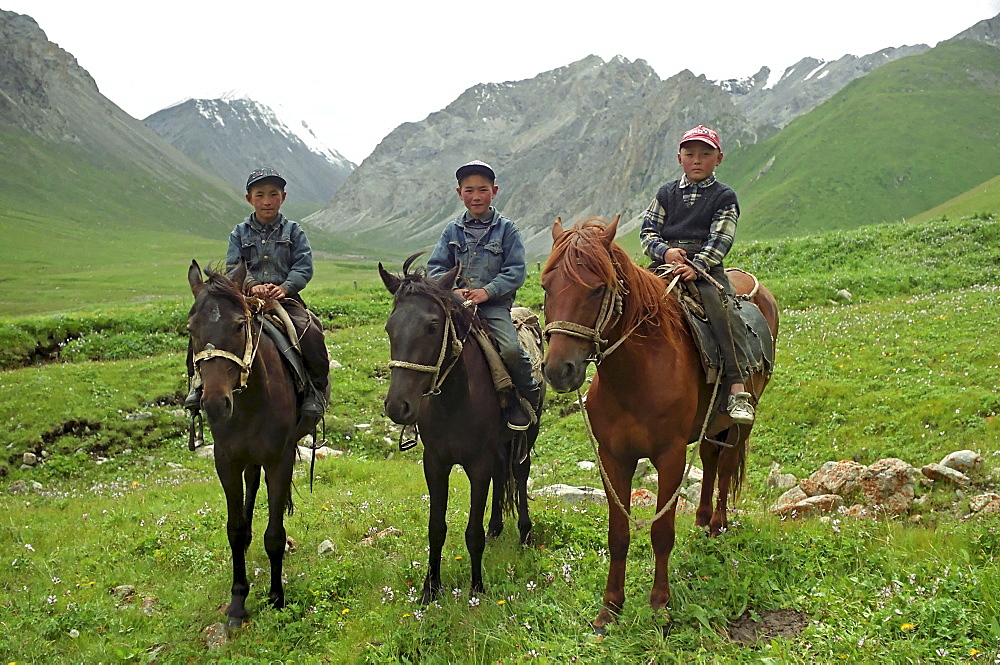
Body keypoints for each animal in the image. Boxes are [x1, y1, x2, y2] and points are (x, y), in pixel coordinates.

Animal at [188, 260, 320, 628]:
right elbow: (234, 530)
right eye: (191, 328)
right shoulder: (226, 461)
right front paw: (237, 602)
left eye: (239, 325)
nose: (215, 404)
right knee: (250, 490)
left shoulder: (279, 460)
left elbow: (274, 535)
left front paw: (276, 598)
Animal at [378, 254, 544, 600]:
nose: (398, 407)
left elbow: (472, 533)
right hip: (499, 446)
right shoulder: (435, 463)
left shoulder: (477, 464)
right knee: (502, 473)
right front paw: (430, 588)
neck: (453, 402)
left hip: (528, 434)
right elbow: (436, 528)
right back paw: (497, 528)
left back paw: (524, 534)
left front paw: (476, 588)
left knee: (519, 475)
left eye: (432, 326)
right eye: (390, 327)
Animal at [544, 217, 776, 628]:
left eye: (598, 288)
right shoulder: (613, 459)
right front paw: (610, 608)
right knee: (711, 459)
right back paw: (701, 521)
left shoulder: (669, 456)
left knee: (726, 463)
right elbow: (618, 533)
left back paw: (718, 524)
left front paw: (659, 605)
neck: (637, 374)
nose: (559, 370)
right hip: (711, 423)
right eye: (545, 286)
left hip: (741, 420)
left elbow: (661, 531)